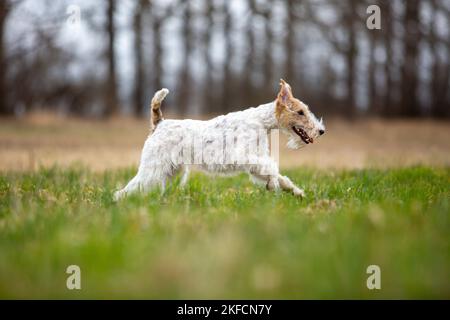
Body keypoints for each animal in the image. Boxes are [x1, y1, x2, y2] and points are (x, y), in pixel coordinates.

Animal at [112, 79, 324, 200]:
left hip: (170, 170)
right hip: (154, 168)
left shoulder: (256, 160)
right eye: (300, 112)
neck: (261, 122)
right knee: (132, 187)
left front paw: (296, 192)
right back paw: (121, 201)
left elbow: (279, 176)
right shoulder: (245, 157)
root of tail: (159, 123)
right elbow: (272, 169)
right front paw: (274, 186)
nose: (321, 131)